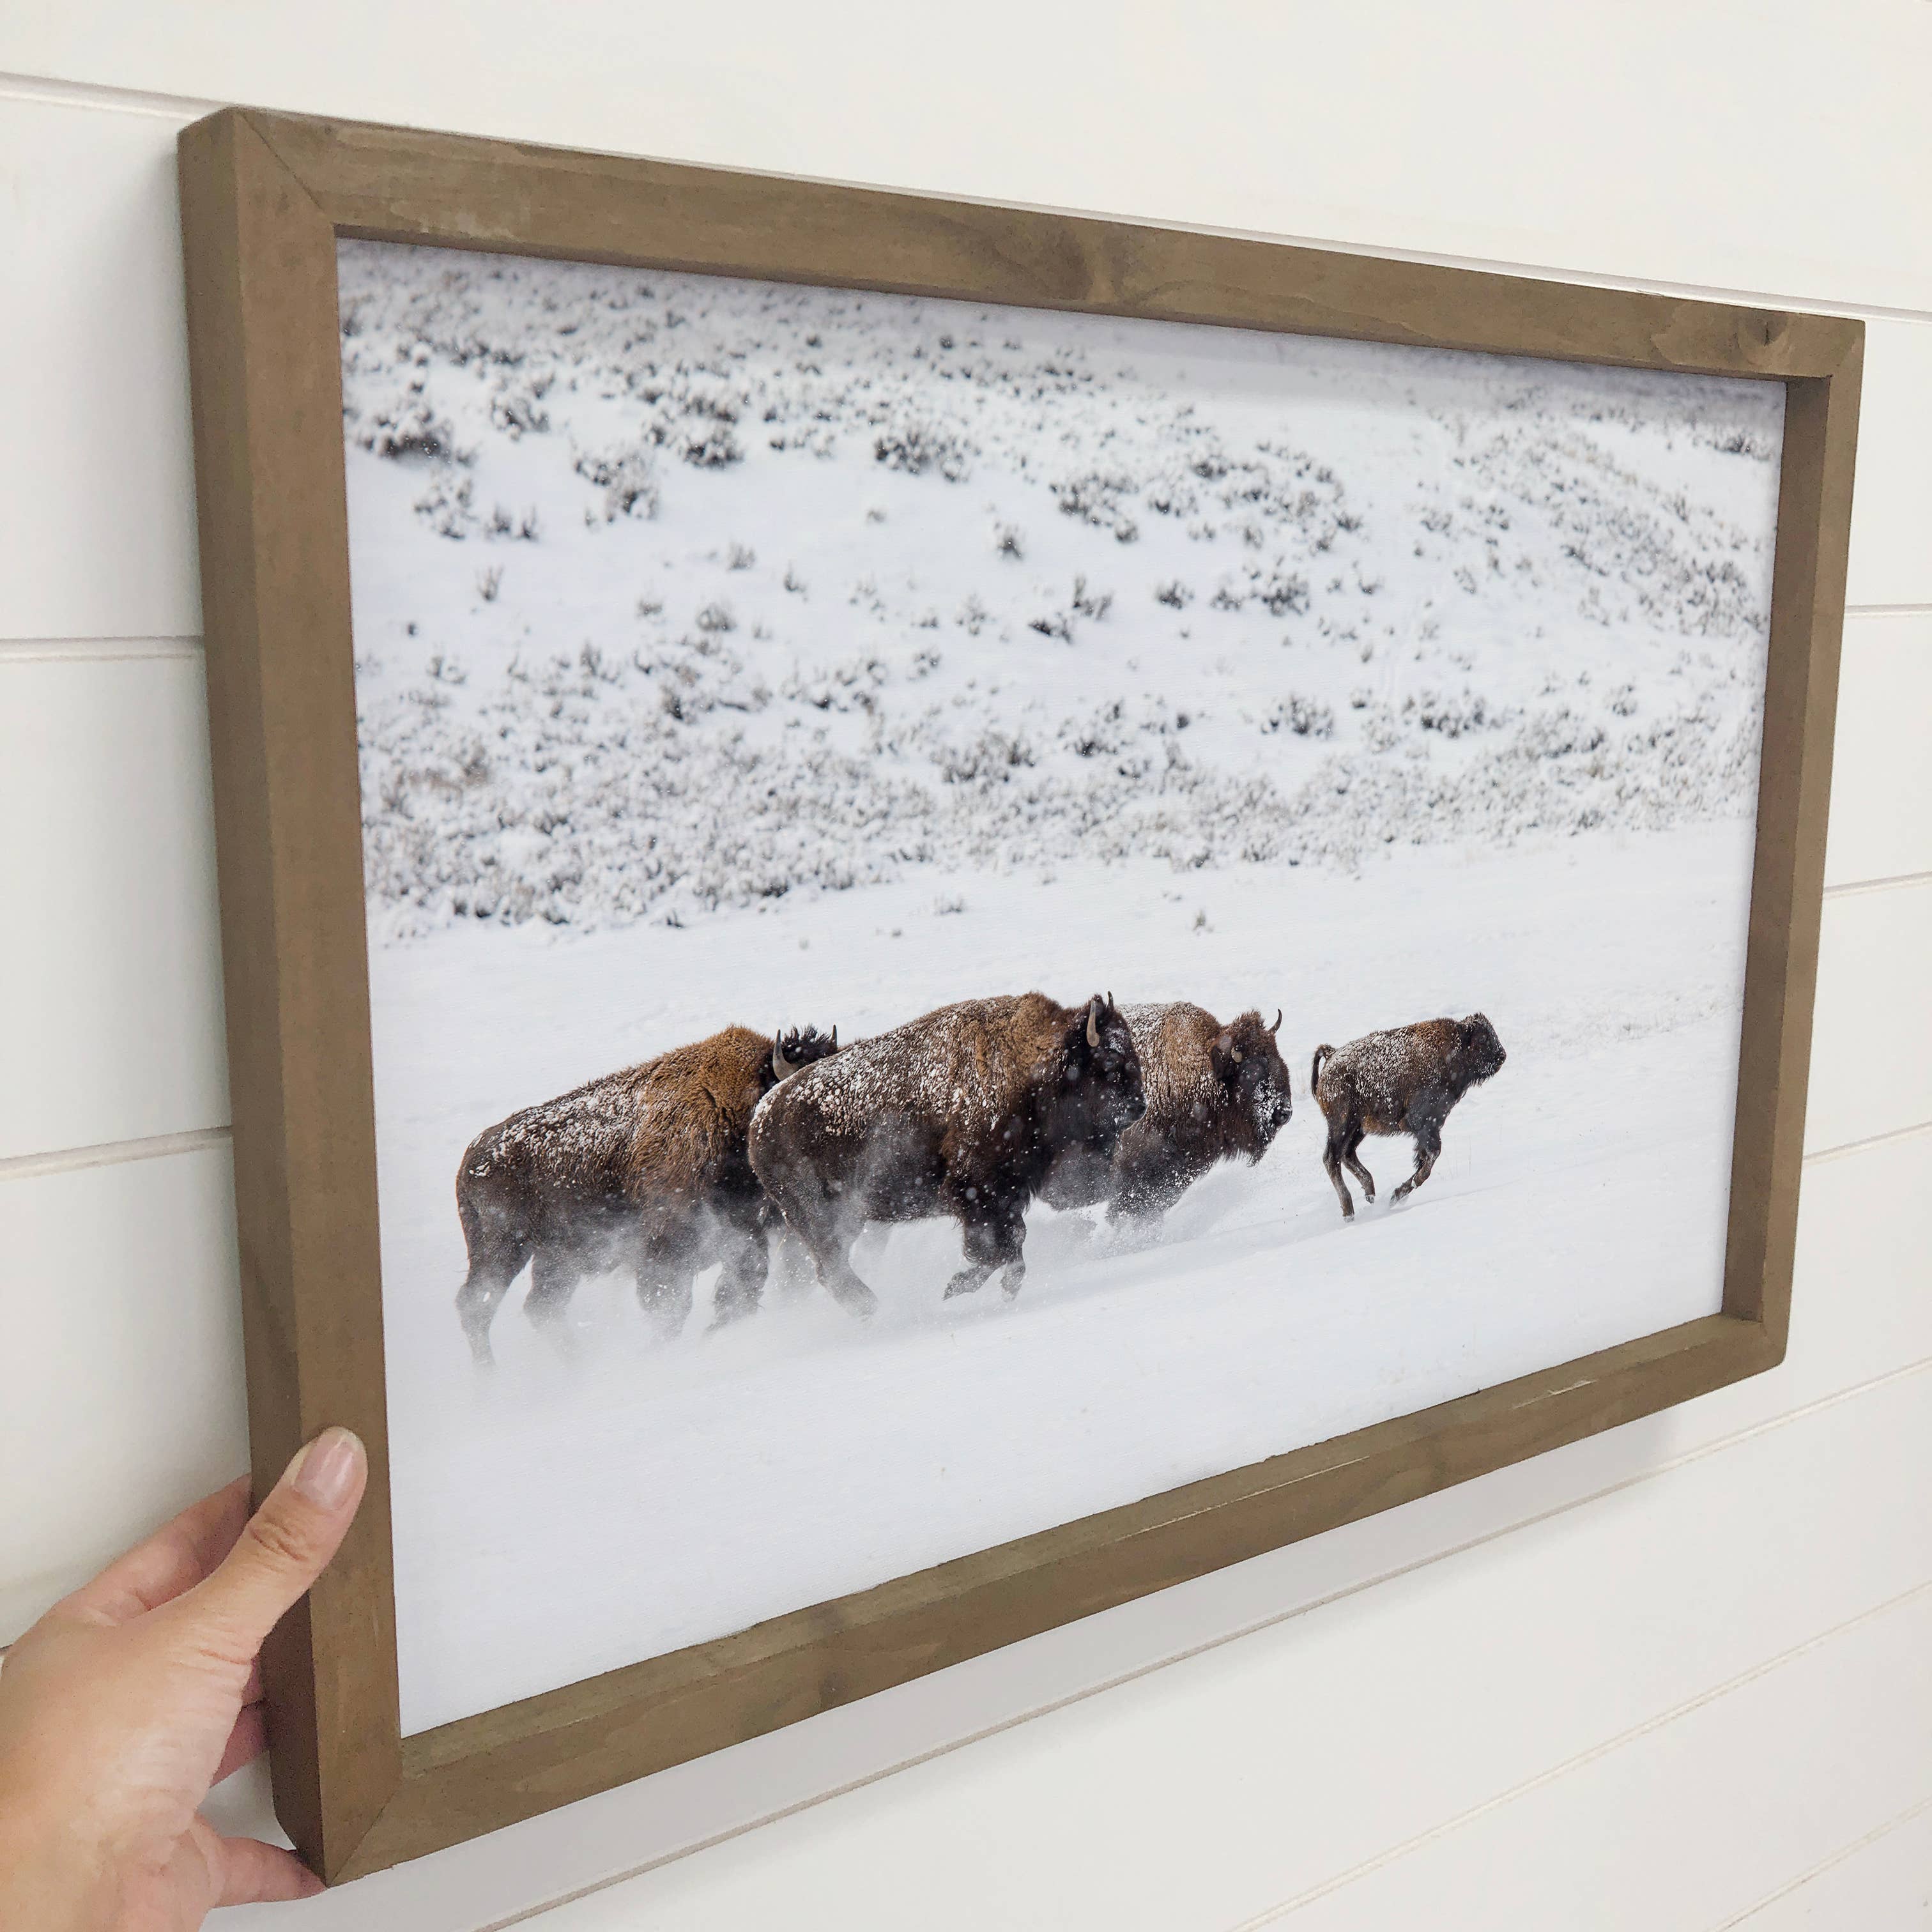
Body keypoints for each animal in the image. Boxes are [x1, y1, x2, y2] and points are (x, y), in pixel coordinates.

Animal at [459, 1027, 846, 1360]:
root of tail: (472, 1159)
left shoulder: (745, 1235)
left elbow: (740, 1289)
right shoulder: (667, 1247)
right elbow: (670, 1306)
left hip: (557, 1259)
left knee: (541, 1308)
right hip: (503, 1249)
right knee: (477, 1306)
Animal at [749, 997, 1144, 1314]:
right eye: (1110, 1059)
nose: (1139, 1107)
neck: (1029, 1068)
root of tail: (761, 1119)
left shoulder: (1008, 1192)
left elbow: (1012, 1244)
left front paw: (993, 1288)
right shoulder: (979, 1191)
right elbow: (998, 1247)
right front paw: (957, 1288)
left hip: (847, 1217)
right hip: (820, 1216)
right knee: (830, 1267)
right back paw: (872, 1310)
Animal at [1314, 1020, 1506, 1213]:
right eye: (1482, 1038)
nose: (1502, 1056)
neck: (1453, 1048)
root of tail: (1331, 1056)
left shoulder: (1431, 1127)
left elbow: (1425, 1159)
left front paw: (1396, 1196)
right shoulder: (1422, 1124)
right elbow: (1431, 1158)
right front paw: (1399, 1194)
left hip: (1359, 1128)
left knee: (1347, 1155)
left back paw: (1370, 1194)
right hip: (1343, 1124)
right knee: (1332, 1159)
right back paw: (1349, 1211)